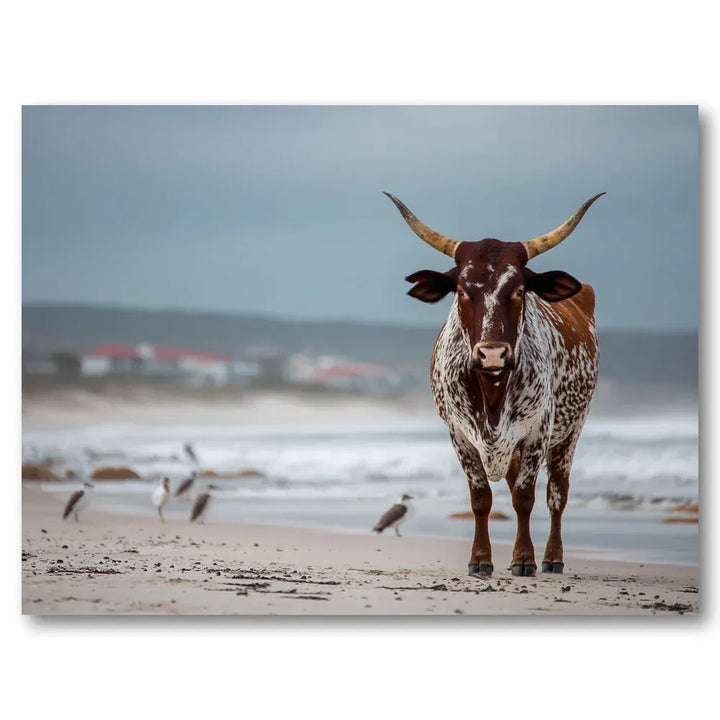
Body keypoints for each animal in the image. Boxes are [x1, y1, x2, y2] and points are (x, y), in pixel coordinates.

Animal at [384, 192, 603, 577]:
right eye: (461, 289)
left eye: (519, 290)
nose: (492, 354)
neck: (492, 391)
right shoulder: (460, 436)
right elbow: (481, 499)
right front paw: (480, 559)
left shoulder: (538, 432)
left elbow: (525, 498)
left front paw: (524, 559)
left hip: (571, 431)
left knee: (557, 495)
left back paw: (552, 557)